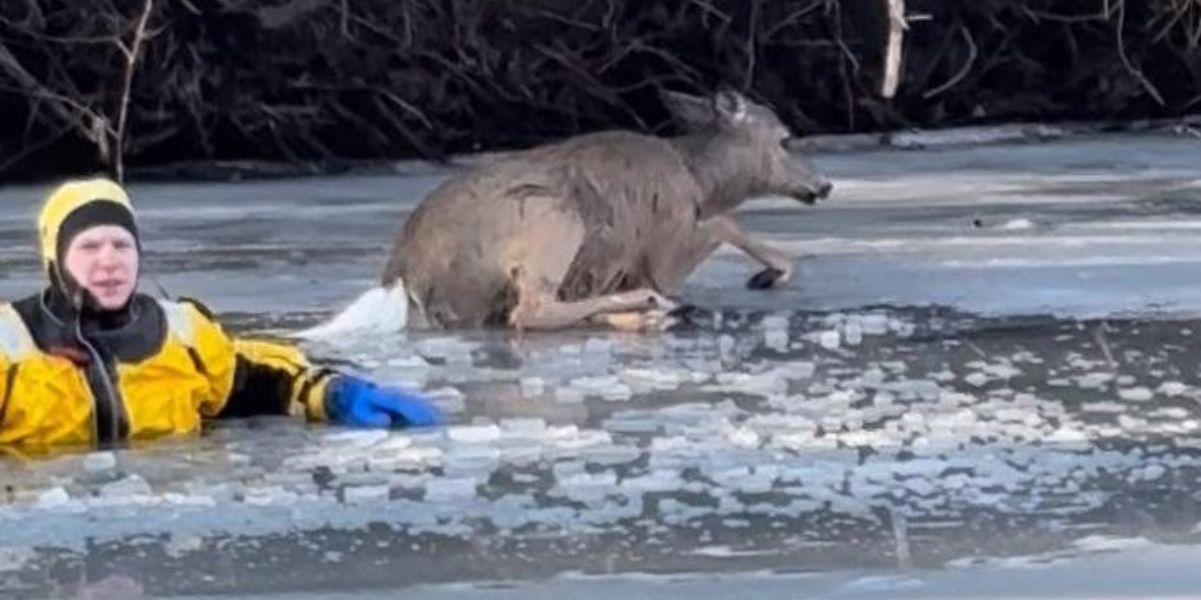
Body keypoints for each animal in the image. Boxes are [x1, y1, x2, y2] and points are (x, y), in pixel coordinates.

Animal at [379, 88, 831, 333]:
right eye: (785, 138)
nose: (823, 185)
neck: (699, 179)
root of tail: (407, 278)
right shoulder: (663, 249)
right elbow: (725, 223)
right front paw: (773, 271)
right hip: (554, 215)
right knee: (531, 309)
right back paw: (651, 305)